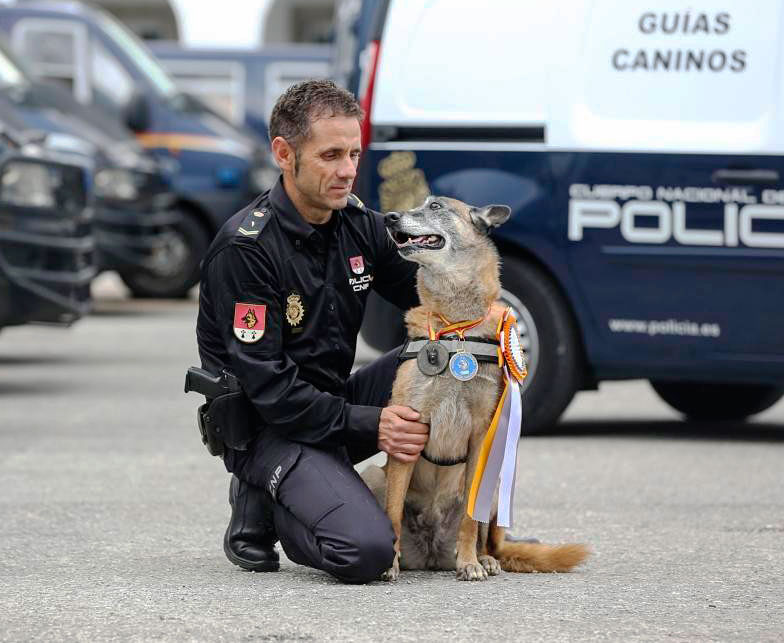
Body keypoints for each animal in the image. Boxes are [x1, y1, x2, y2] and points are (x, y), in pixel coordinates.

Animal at [362, 196, 588, 584]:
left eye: (436, 206)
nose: (389, 217)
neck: (456, 330)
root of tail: (431, 551)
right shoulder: (406, 430)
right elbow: (391, 514)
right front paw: (389, 563)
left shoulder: (483, 436)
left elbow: (471, 518)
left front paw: (469, 562)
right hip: (374, 474)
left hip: (496, 484)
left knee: (487, 537)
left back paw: (484, 558)